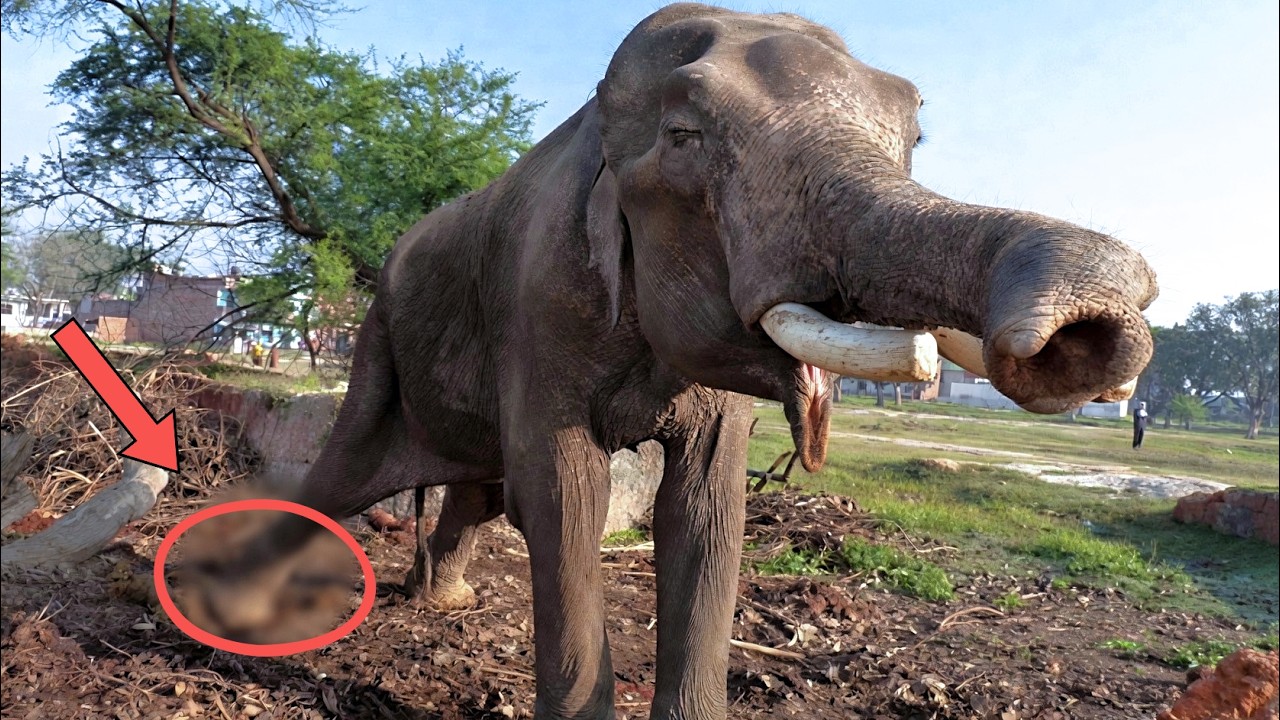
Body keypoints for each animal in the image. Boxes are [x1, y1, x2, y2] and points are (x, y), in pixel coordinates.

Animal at [189, 4, 1158, 718]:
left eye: (914, 137)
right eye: (687, 134)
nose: (1081, 333)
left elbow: (705, 507)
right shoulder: (542, 302)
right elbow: (566, 499)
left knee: (474, 489)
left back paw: (444, 602)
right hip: (379, 341)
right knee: (339, 477)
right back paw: (228, 609)